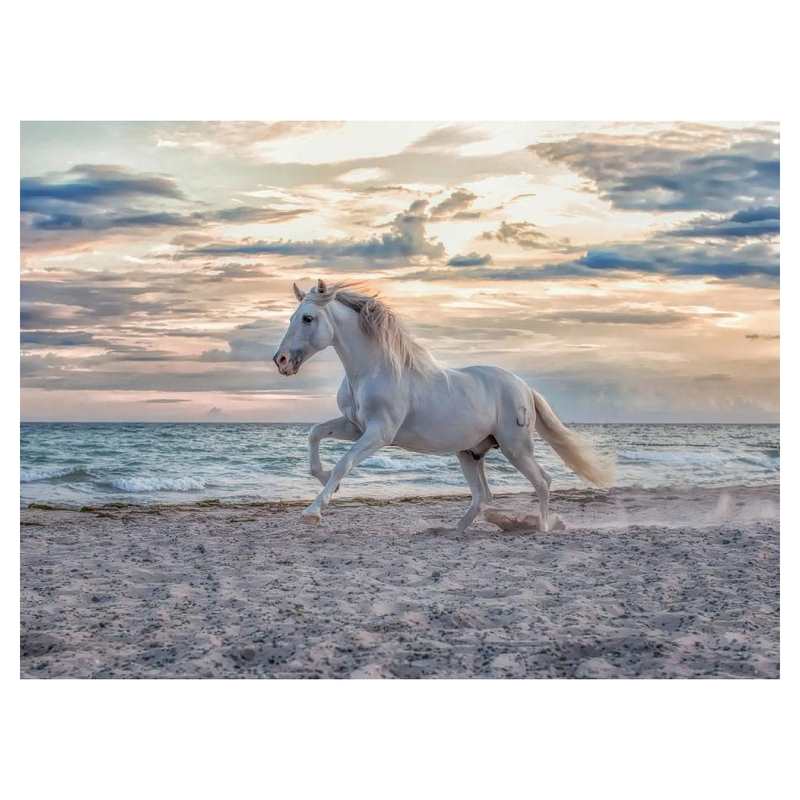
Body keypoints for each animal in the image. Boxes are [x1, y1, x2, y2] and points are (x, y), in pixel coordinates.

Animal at [273, 279, 614, 531]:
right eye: (291, 318)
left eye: (307, 318)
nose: (281, 361)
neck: (373, 370)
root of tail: (524, 387)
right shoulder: (355, 426)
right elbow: (315, 434)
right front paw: (324, 480)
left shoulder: (379, 433)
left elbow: (344, 463)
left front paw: (313, 512)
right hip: (470, 453)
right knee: (483, 495)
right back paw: (456, 530)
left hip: (515, 447)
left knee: (542, 481)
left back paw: (541, 528)